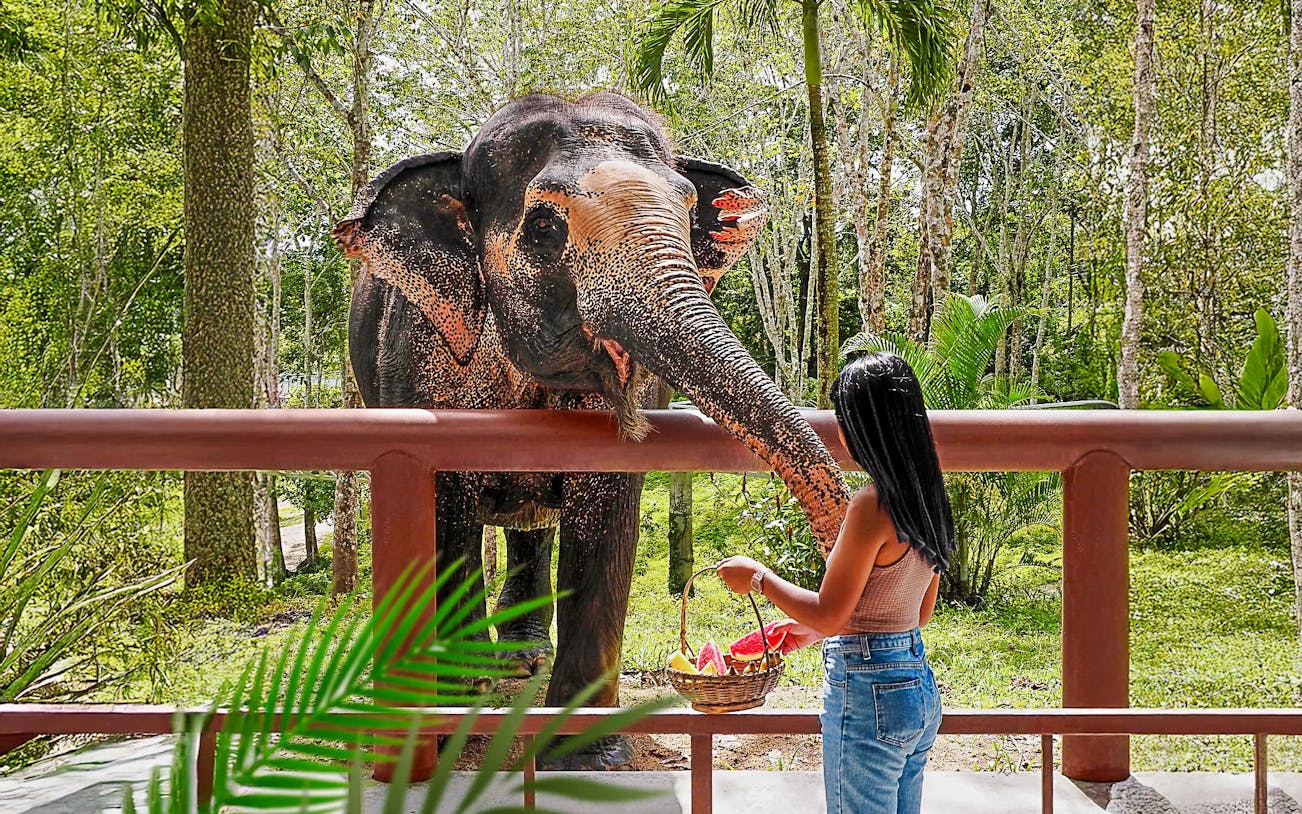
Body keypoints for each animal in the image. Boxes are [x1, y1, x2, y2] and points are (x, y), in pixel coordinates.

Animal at [334, 91, 849, 769]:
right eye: (544, 227)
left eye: (689, 210)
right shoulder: (418, 359)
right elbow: (444, 522)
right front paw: (452, 720)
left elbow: (606, 521)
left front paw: (587, 758)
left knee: (532, 526)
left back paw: (521, 659)